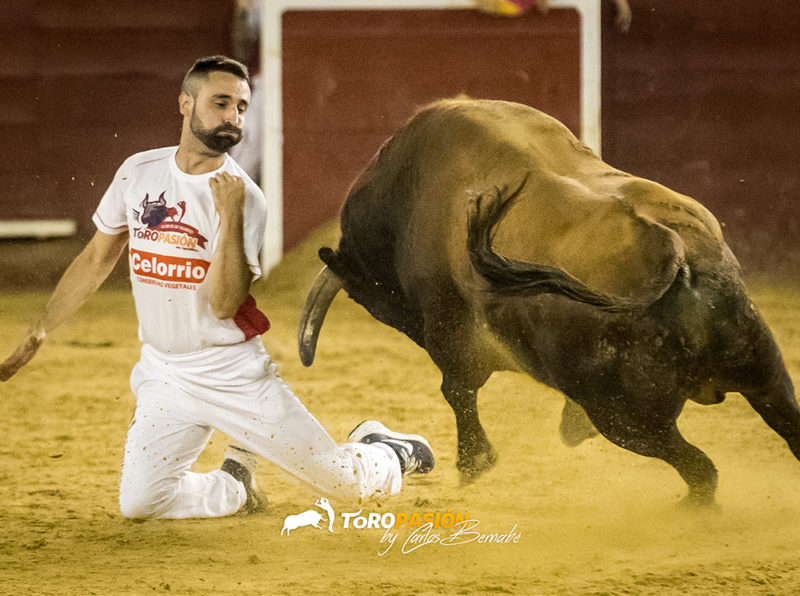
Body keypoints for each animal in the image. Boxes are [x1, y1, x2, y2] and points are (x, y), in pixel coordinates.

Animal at [296, 95, 796, 506]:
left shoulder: (449, 330)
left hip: (628, 418)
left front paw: (474, 464)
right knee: (779, 430)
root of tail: (672, 249)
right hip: (762, 371)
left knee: (700, 469)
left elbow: (456, 390)